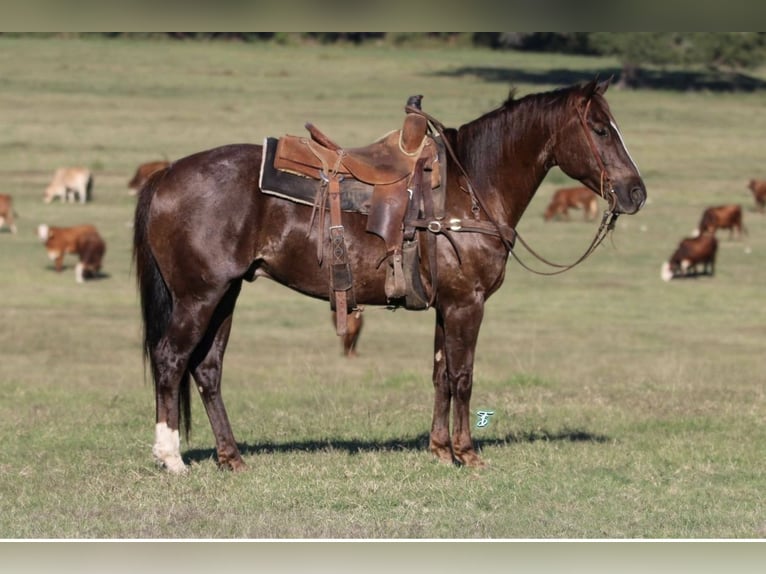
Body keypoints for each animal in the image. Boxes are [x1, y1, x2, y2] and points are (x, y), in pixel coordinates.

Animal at [134, 81, 648, 476]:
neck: (471, 190)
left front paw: (439, 450)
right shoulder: (468, 303)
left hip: (227, 293)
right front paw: (467, 454)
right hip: (199, 295)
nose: (636, 192)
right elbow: (463, 376)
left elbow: (441, 374)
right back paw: (171, 458)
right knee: (171, 359)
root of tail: (167, 174)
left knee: (207, 369)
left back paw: (231, 457)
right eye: (601, 129)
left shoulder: (447, 304)